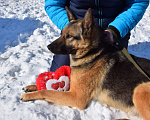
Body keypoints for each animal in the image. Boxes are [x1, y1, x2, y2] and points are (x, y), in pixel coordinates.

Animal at [20, 7, 150, 120]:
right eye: (62, 34)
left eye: (70, 36)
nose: (48, 47)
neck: (91, 53)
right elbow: (48, 88)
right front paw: (32, 87)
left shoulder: (76, 97)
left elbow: (47, 91)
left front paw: (29, 95)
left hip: (140, 89)